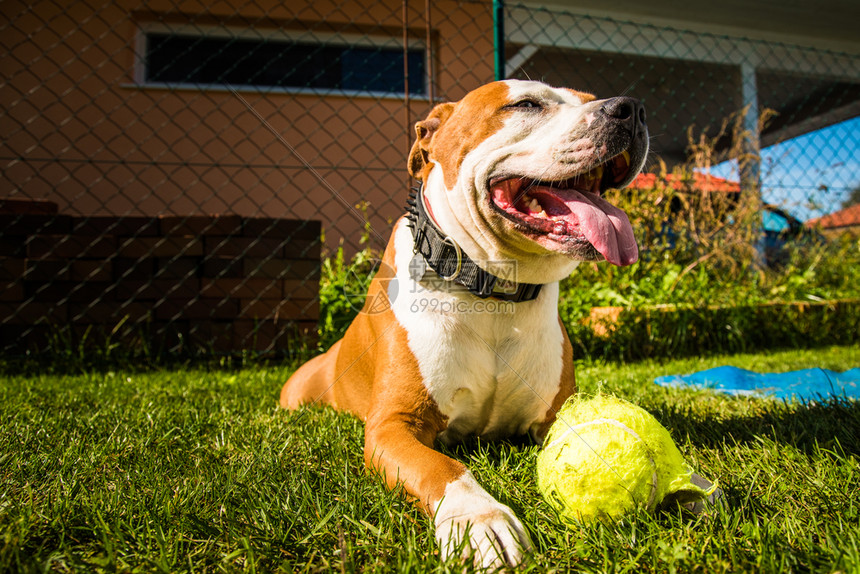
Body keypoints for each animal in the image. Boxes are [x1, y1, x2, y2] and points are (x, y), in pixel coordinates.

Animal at [278, 81, 648, 572]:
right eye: (525, 104)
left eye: (589, 97)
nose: (632, 109)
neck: (493, 291)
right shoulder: (393, 426)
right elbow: (443, 468)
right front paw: (481, 519)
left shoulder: (554, 415)